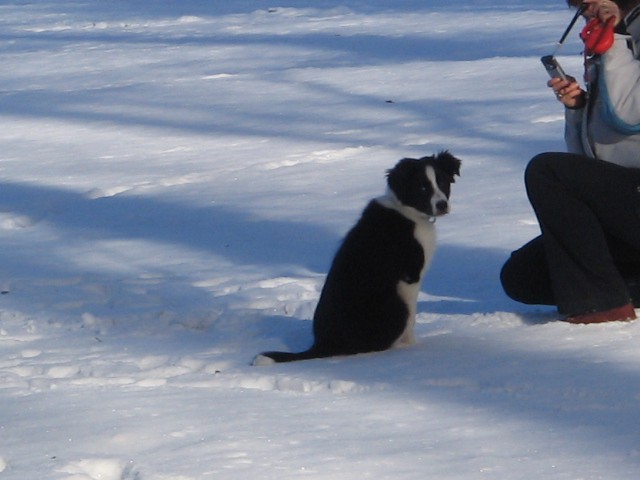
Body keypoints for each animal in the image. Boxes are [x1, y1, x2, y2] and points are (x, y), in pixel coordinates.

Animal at [252, 152, 462, 366]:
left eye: (443, 182)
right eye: (422, 187)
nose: (442, 205)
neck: (407, 210)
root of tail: (324, 344)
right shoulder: (409, 277)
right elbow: (412, 318)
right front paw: (412, 346)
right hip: (396, 306)